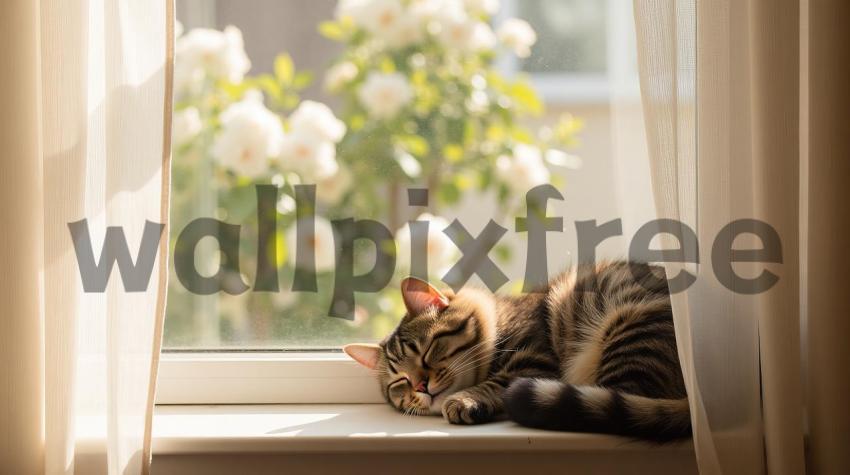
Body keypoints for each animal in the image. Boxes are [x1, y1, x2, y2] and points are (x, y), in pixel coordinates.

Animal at [342, 260, 688, 442]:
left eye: (425, 351)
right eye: (399, 381)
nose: (420, 386)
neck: (501, 317)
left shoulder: (533, 359)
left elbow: (495, 383)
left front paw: (466, 401)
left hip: (628, 326)